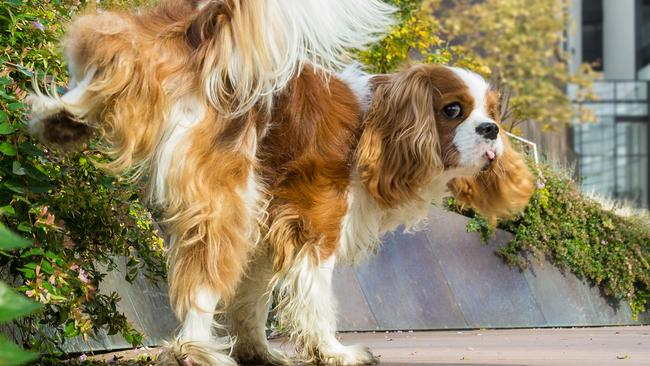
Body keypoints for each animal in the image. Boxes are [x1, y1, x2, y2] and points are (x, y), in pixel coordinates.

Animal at [26, 0, 532, 366]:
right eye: (453, 110)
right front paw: (334, 352)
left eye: (492, 112)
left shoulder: (270, 230)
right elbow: (315, 299)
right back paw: (196, 350)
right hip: (228, 199)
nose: (491, 131)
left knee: (113, 54)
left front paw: (258, 352)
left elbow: (252, 299)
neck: (376, 127)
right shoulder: (317, 224)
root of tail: (206, 36)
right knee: (203, 280)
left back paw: (61, 119)